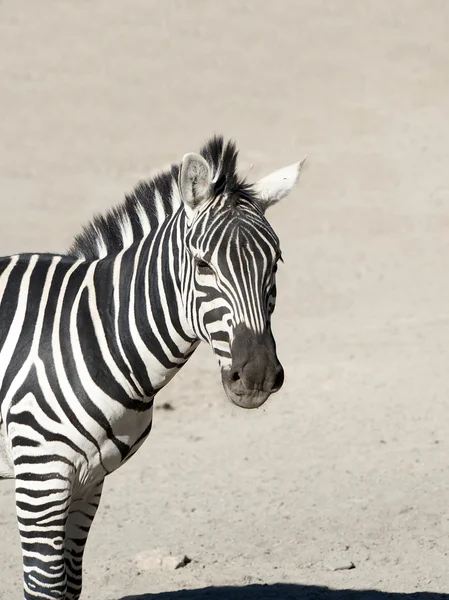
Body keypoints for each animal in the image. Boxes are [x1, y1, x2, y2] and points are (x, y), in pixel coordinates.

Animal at [0, 137, 304, 600]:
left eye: (276, 263)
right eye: (203, 265)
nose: (257, 375)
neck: (93, 333)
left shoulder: (88, 480)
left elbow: (70, 584)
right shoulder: (40, 473)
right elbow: (45, 587)